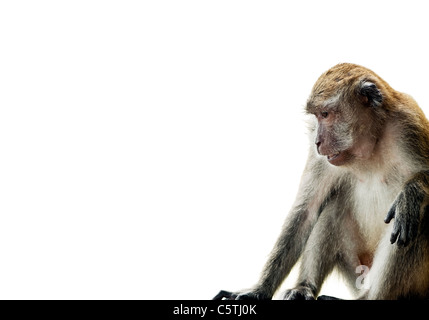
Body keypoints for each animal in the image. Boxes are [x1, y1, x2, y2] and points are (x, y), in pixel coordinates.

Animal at [216, 63, 428, 300]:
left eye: (325, 114)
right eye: (316, 117)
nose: (317, 141)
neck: (370, 145)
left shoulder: (408, 125)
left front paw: (412, 192)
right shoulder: (322, 159)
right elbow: (306, 210)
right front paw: (259, 290)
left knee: (414, 218)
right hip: (357, 270)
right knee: (333, 208)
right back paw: (304, 287)